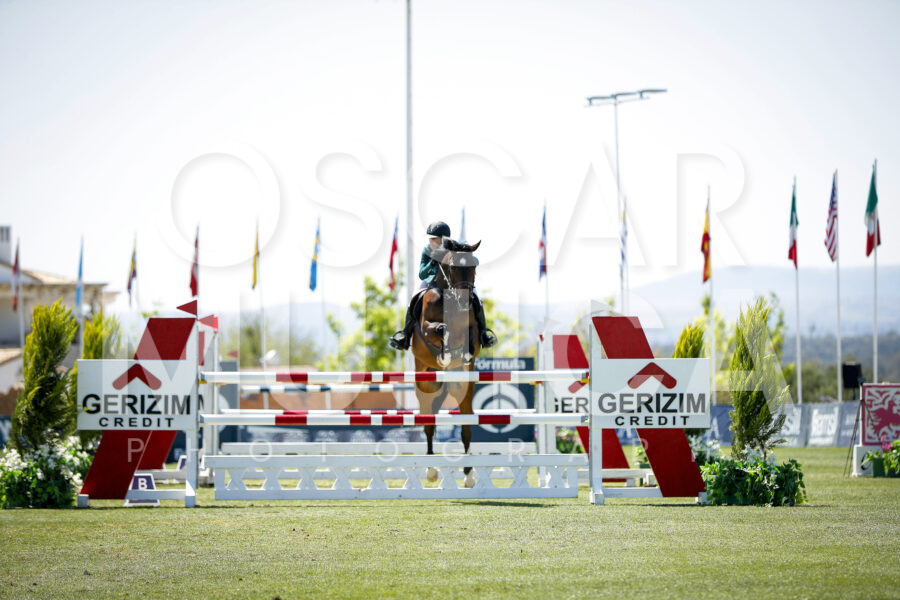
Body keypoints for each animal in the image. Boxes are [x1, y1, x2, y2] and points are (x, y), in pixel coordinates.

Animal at [410, 239, 485, 487]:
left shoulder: (472, 328)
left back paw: (469, 473)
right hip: (425, 385)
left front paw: (464, 355)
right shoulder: (426, 327)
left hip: (463, 390)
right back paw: (431, 470)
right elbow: (442, 329)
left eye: (474, 266)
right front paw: (446, 353)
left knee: (465, 426)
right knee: (428, 424)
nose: (464, 300)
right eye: (452, 267)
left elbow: (471, 338)